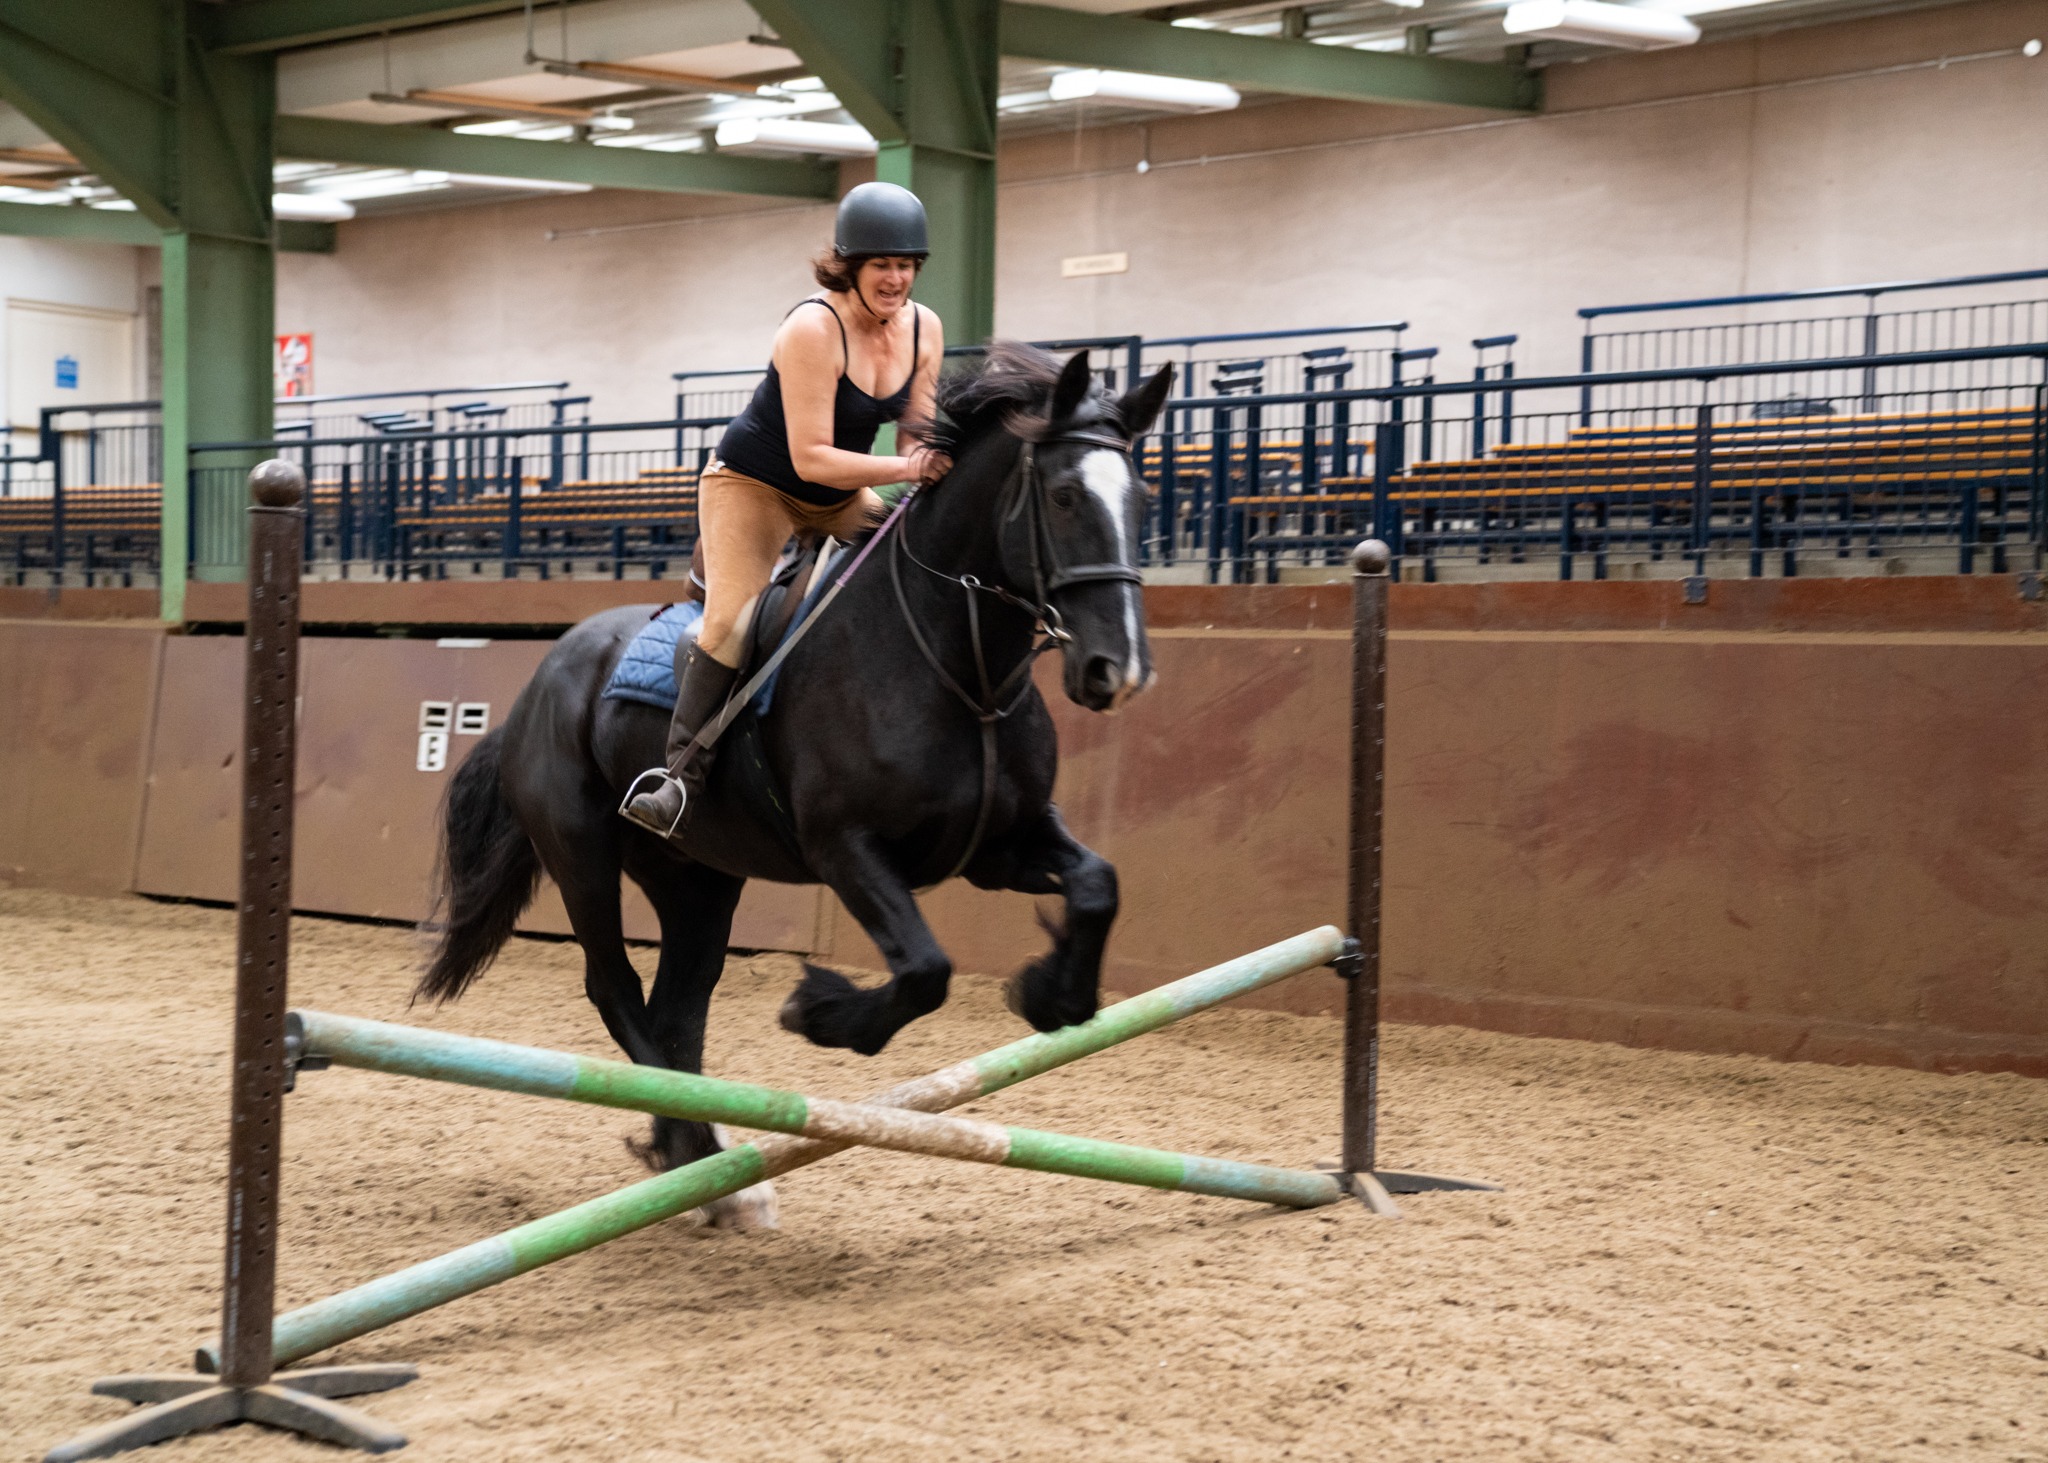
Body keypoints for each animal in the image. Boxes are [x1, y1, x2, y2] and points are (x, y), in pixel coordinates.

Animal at [413, 343, 1175, 1226]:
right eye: (1063, 495)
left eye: (1141, 498)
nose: (1117, 669)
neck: (958, 663)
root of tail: (542, 677)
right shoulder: (846, 848)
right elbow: (925, 969)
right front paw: (819, 1010)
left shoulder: (1001, 844)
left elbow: (1097, 885)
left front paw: (1050, 996)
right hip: (582, 855)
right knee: (616, 988)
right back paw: (702, 1154)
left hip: (696, 875)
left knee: (680, 1004)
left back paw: (700, 1163)